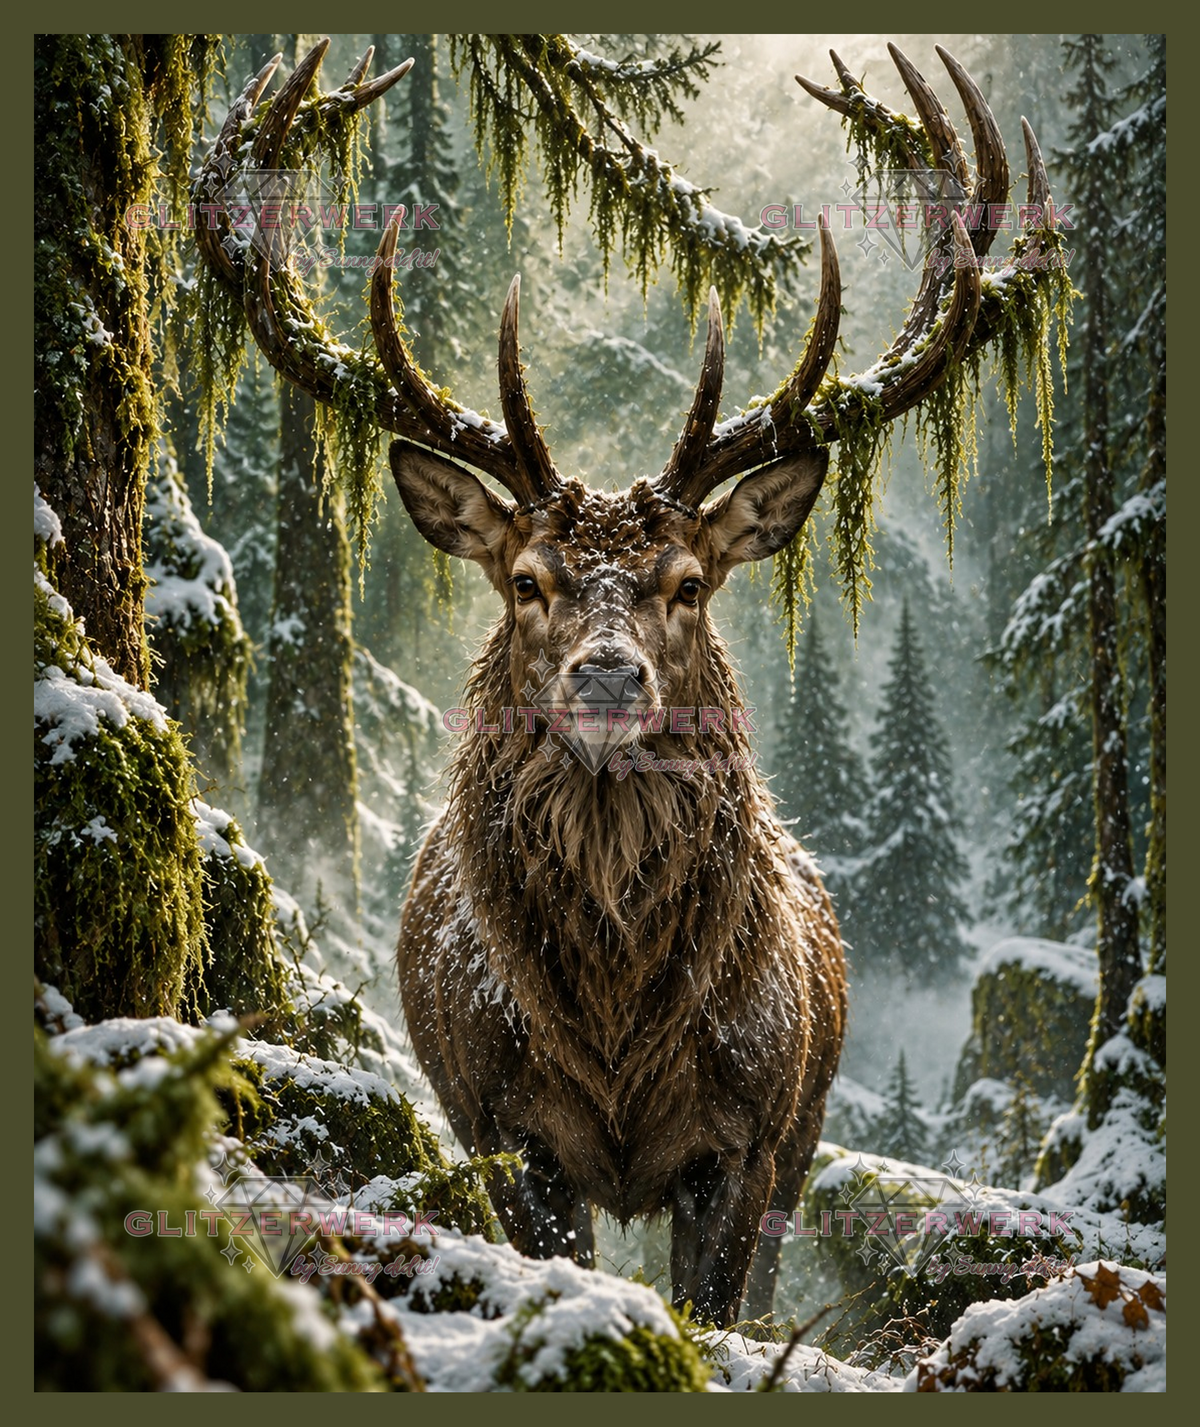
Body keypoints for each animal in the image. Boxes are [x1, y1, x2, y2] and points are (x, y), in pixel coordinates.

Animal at [195, 38, 1059, 1326]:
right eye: (528, 578)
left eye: (689, 581)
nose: (607, 675)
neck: (614, 1032)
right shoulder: (503, 1122)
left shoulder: (749, 1132)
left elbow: (718, 1308)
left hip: (805, 1128)